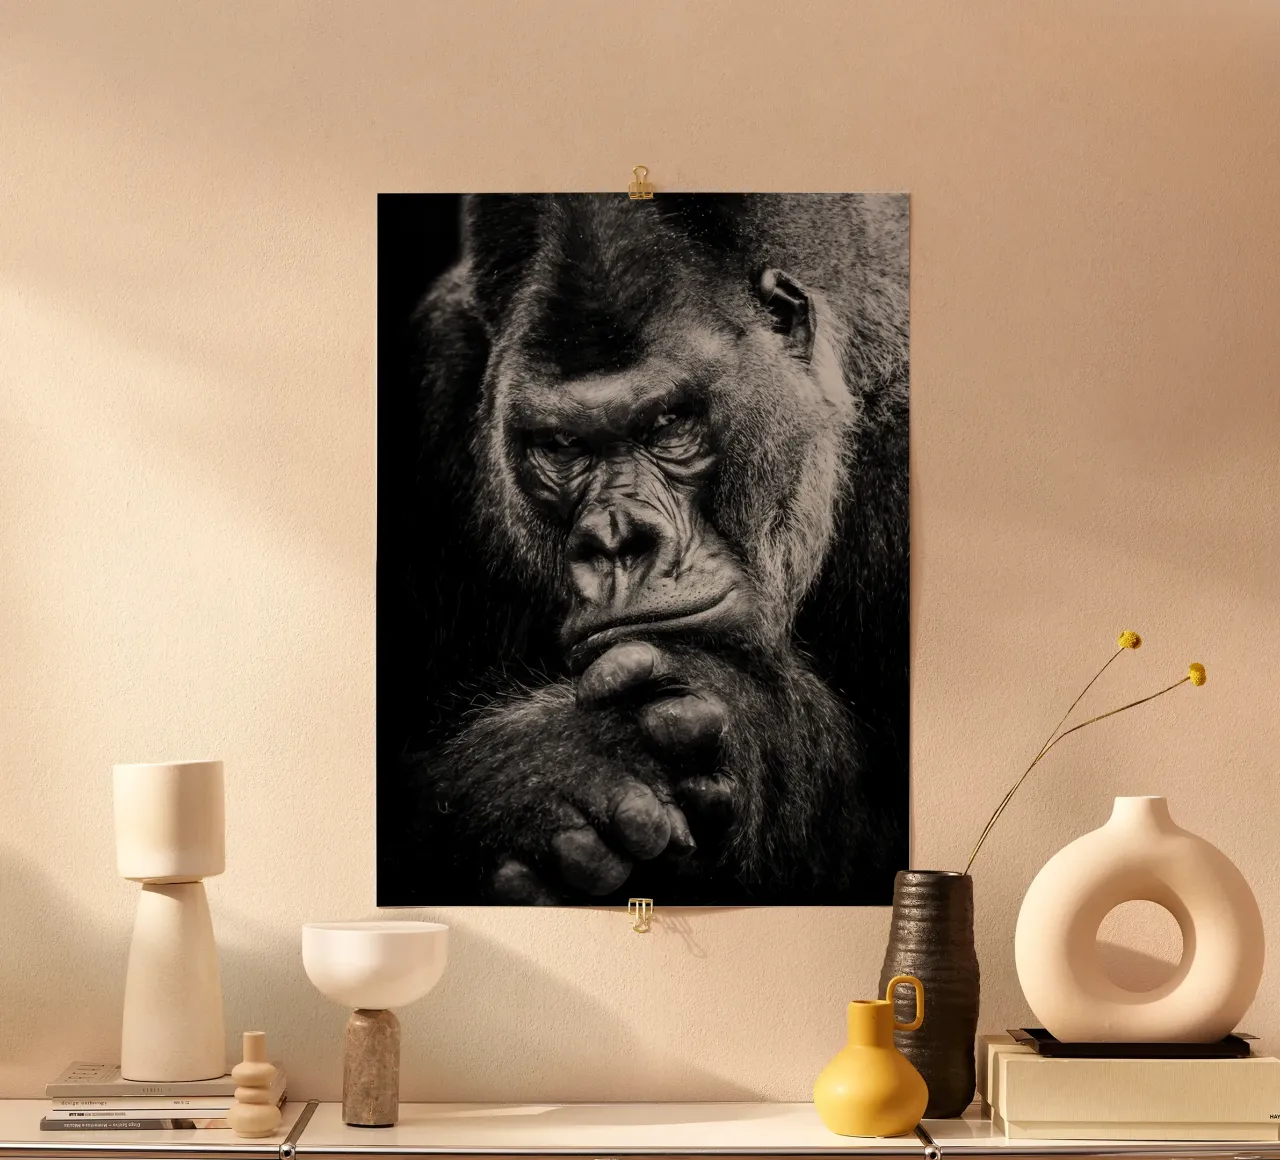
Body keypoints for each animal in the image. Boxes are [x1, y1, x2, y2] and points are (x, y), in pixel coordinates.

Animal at [378, 193, 909, 905]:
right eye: (562, 445)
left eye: (667, 424)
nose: (616, 539)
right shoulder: (436, 377)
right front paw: (540, 775)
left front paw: (741, 722)